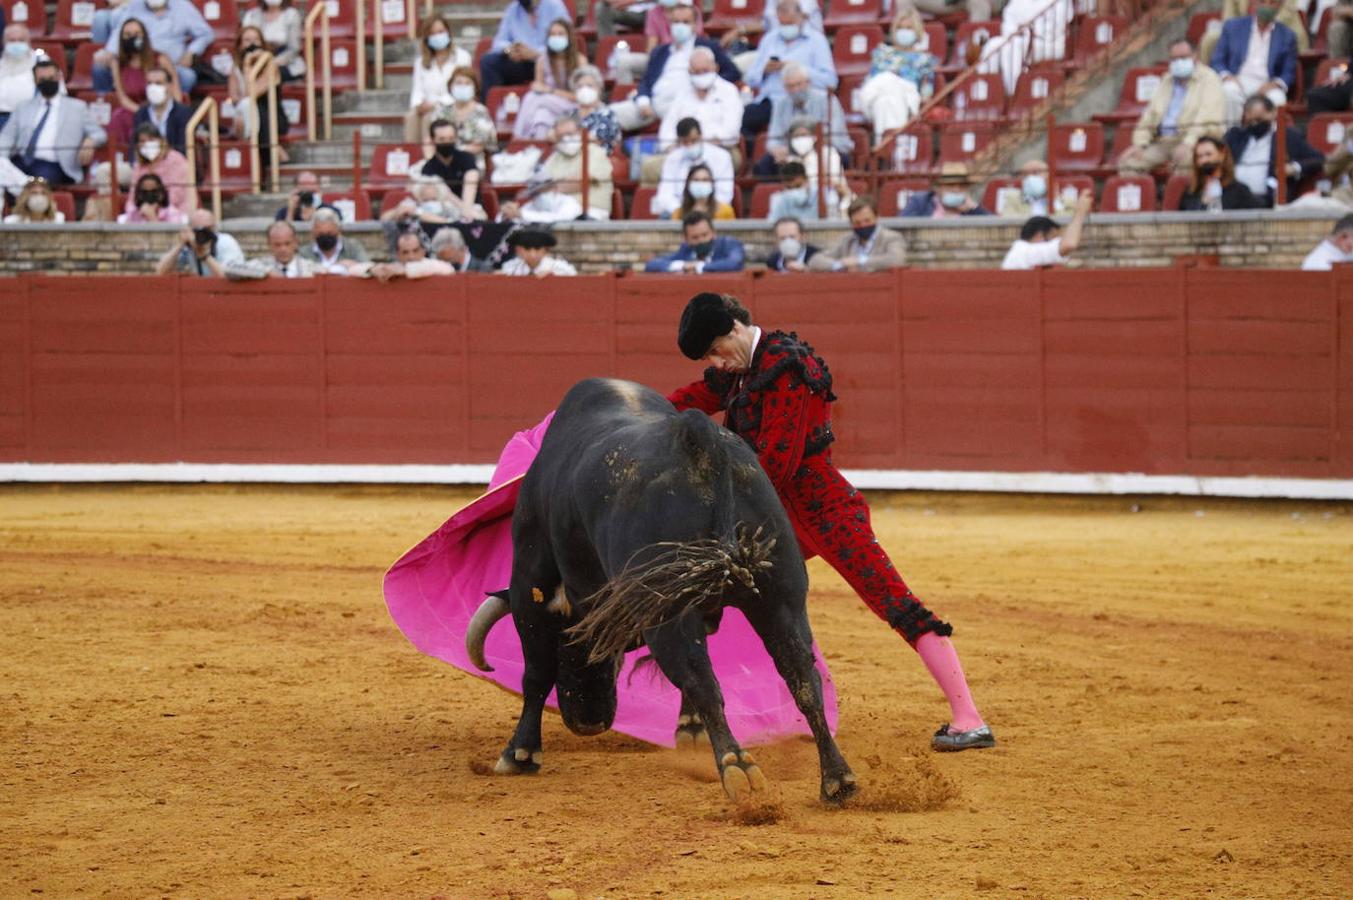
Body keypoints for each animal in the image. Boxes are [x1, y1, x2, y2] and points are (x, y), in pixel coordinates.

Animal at [465, 376, 855, 801]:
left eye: (575, 644)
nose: (589, 721)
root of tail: (699, 441)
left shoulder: (528, 584)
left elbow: (536, 672)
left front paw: (519, 754)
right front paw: (689, 729)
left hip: (665, 612)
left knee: (703, 680)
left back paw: (739, 768)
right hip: (779, 597)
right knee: (802, 676)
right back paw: (837, 778)